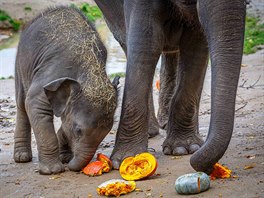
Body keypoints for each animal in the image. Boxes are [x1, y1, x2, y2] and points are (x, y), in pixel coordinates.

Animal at [14, 6, 117, 174]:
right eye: (78, 130)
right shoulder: (53, 72)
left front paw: (64, 157)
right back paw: (22, 157)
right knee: (22, 104)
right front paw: (53, 170)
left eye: (106, 133)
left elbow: (64, 118)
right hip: (21, 63)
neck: (91, 68)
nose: (71, 166)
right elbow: (34, 103)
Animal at [96, 0, 246, 172]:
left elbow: (195, 43)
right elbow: (145, 42)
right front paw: (128, 159)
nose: (203, 167)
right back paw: (152, 132)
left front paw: (184, 149)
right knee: (127, 41)